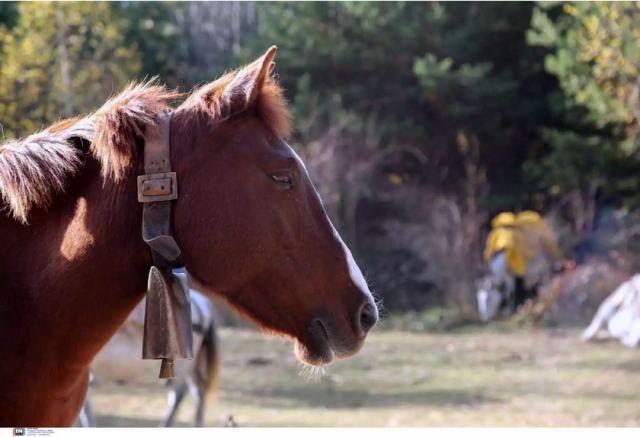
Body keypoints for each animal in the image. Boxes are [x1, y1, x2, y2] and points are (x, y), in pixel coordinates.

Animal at [79, 286, 220, 426]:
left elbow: (84, 407)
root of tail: (202, 303)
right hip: (191, 363)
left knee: (178, 394)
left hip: (183, 364)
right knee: (197, 390)